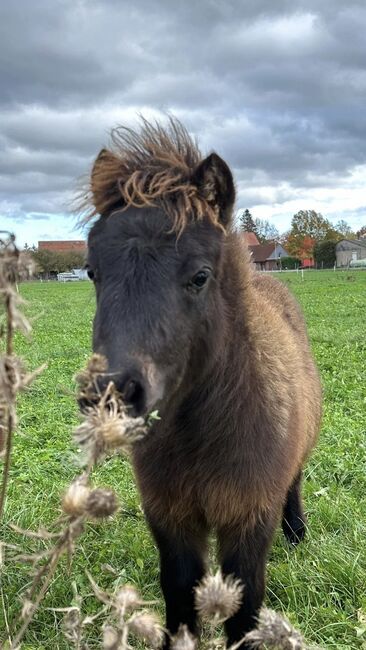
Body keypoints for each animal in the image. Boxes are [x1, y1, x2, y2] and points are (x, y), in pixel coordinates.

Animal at [81, 116, 322, 644]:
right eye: (92, 272)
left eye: (200, 276)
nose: (113, 394)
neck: (204, 431)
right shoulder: (170, 517)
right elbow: (180, 593)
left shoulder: (250, 516)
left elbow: (244, 605)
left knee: (294, 483)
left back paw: (297, 535)